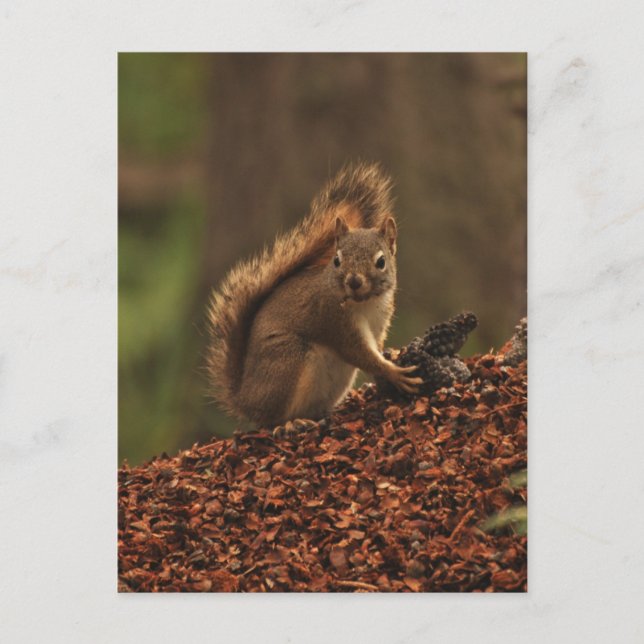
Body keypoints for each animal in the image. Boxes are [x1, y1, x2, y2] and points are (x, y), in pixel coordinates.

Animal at [207, 162, 422, 427]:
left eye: (381, 262)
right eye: (337, 260)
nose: (353, 281)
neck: (365, 303)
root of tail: (245, 400)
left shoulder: (380, 321)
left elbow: (376, 345)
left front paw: (391, 354)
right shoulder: (334, 321)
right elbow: (357, 352)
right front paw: (394, 373)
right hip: (287, 361)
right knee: (272, 419)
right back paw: (290, 424)